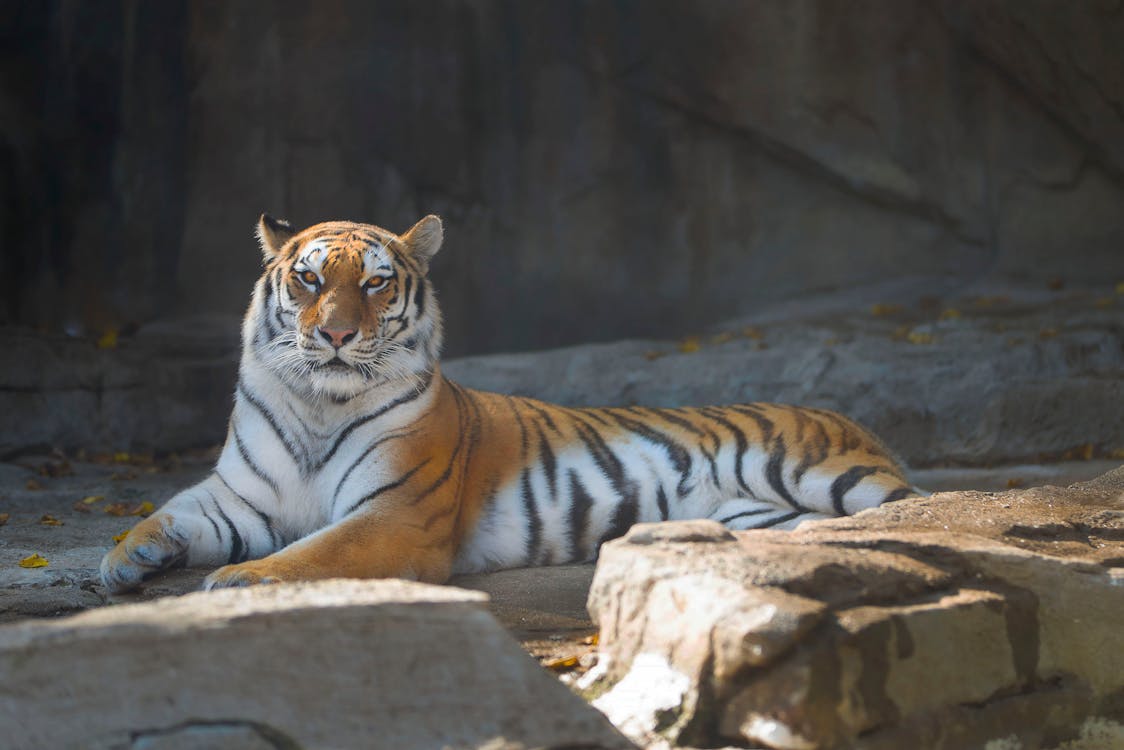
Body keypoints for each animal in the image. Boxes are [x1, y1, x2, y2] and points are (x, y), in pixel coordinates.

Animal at [101, 215, 917, 593]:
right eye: (307, 278)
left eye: (373, 283)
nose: (334, 334)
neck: (318, 405)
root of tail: (848, 418)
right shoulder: (240, 497)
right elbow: (169, 512)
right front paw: (123, 559)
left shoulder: (396, 514)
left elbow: (319, 550)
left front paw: (241, 581)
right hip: (765, 516)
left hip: (826, 473)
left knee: (907, 506)